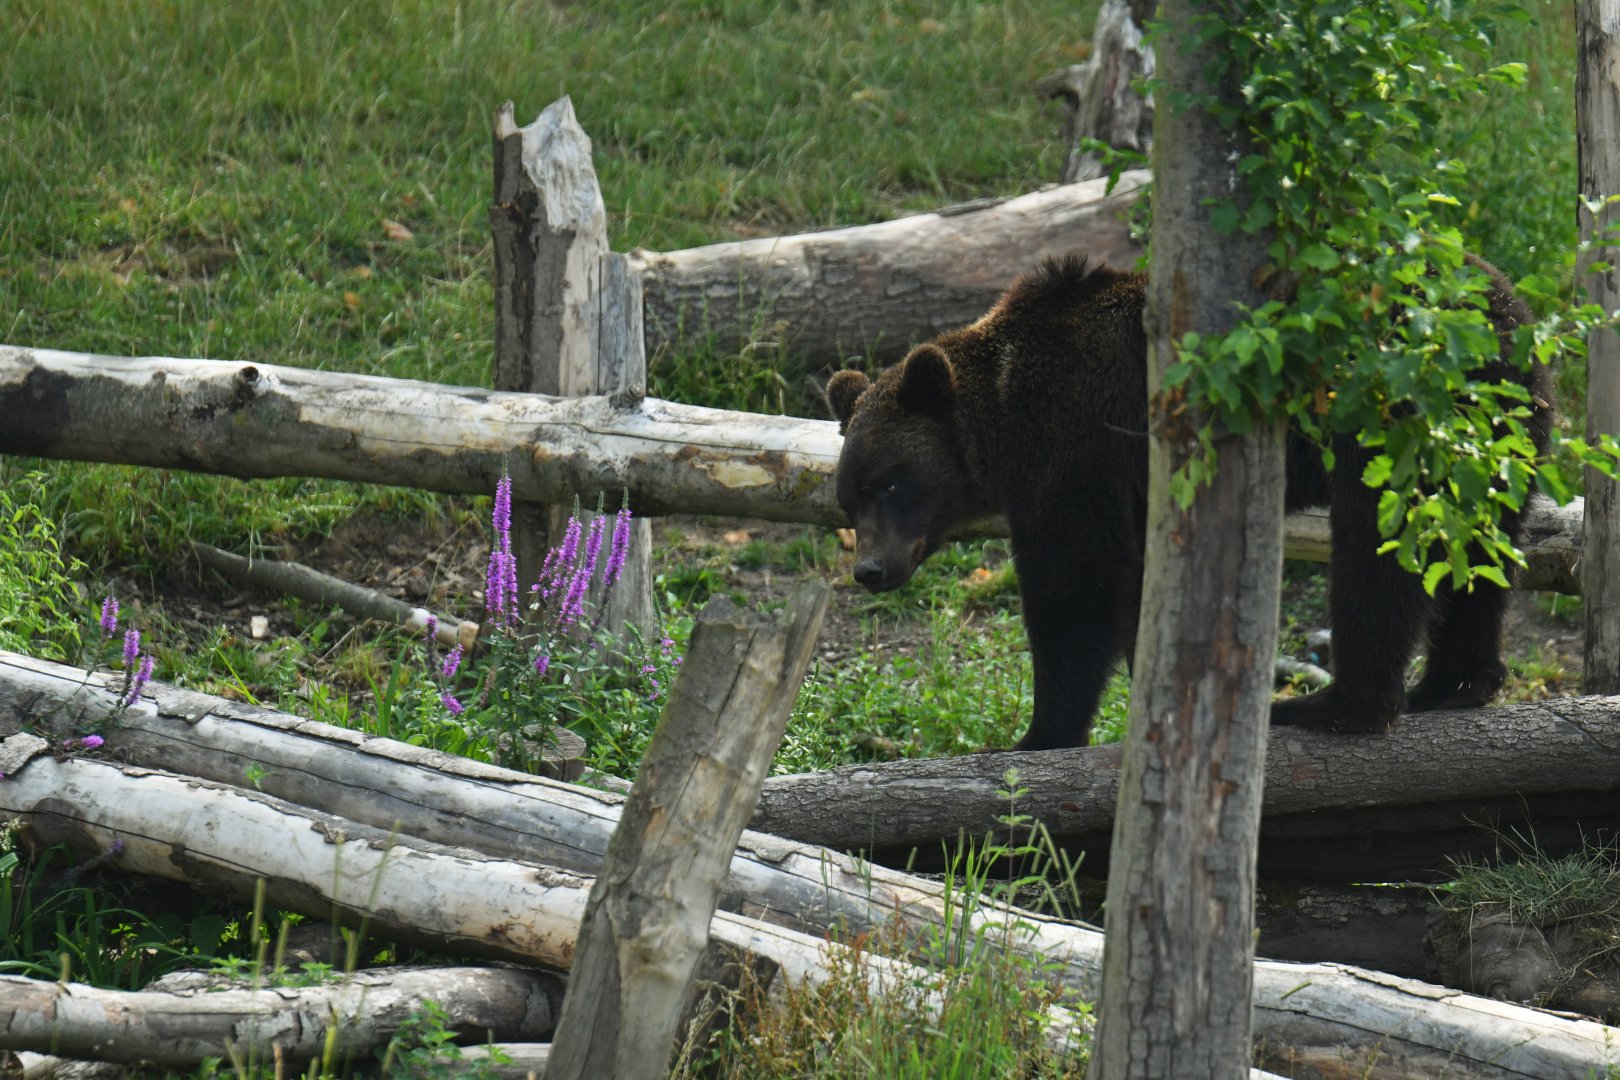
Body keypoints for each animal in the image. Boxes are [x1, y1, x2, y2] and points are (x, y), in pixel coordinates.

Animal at [826, 253, 1549, 751]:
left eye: (892, 483)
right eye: (848, 500)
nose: (870, 570)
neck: (1000, 425)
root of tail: (1502, 305)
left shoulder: (1075, 447)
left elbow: (1072, 590)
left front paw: (1041, 733)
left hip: (1391, 414)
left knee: (1379, 546)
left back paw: (1335, 705)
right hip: (1499, 435)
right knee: (1480, 549)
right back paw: (1452, 684)